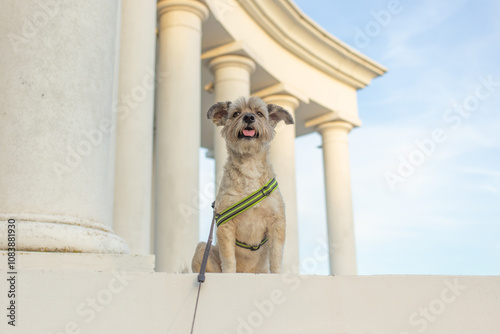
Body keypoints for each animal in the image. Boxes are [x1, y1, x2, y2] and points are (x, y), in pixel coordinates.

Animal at [190, 95, 292, 272]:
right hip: (202, 248)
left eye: (259, 113)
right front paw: (230, 274)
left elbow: (276, 255)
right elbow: (229, 258)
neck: (249, 164)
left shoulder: (276, 221)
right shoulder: (225, 224)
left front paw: (278, 273)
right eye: (236, 113)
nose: (249, 117)